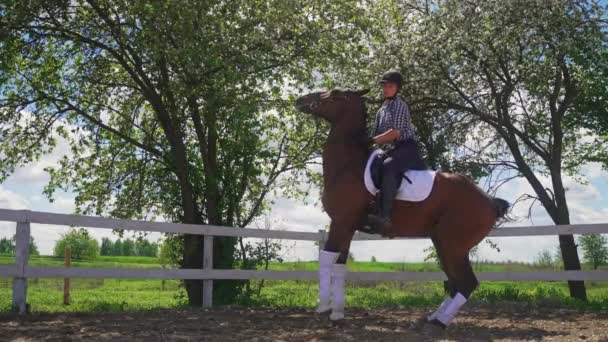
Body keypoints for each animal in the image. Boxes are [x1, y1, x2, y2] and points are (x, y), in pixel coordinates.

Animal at [294, 87, 508, 328]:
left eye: (334, 94)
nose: (300, 100)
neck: (348, 166)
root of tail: (488, 201)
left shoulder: (341, 222)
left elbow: (326, 259)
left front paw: (322, 308)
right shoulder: (347, 226)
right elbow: (340, 264)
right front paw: (337, 312)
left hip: (453, 246)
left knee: (466, 283)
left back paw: (439, 323)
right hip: (444, 244)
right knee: (455, 283)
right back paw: (433, 317)